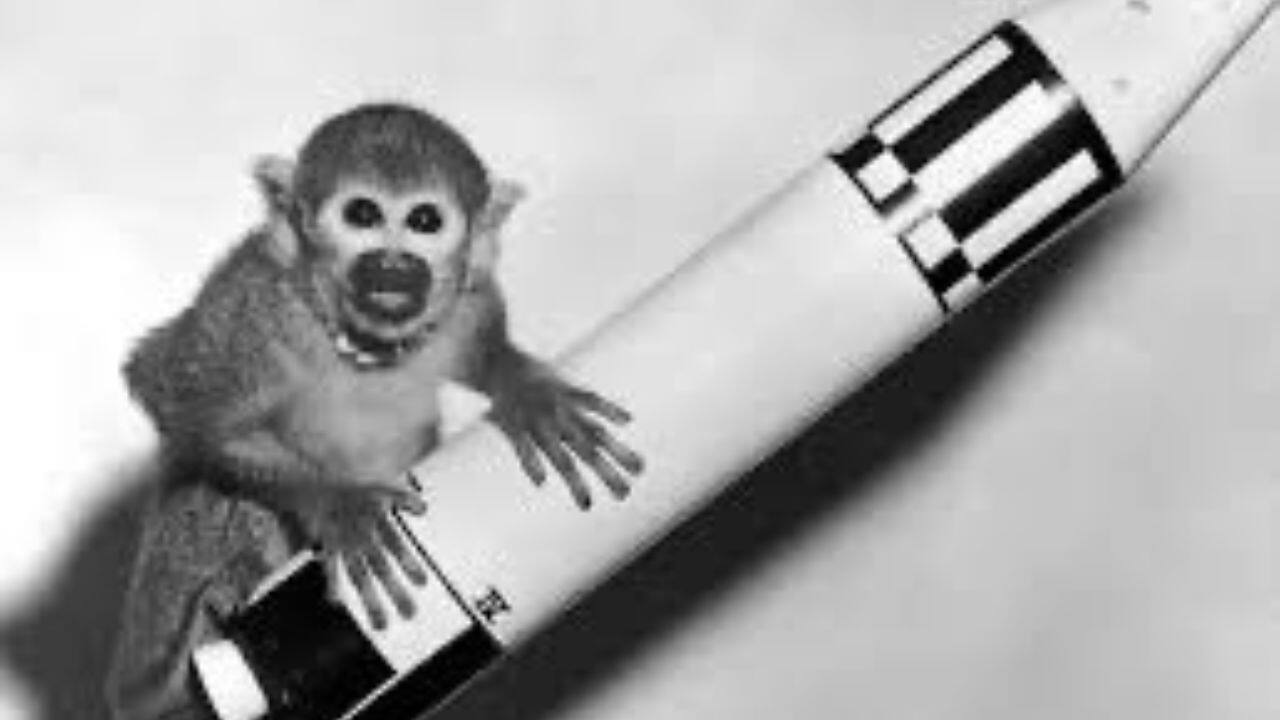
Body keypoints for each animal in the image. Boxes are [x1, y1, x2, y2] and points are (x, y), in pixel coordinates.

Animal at [105, 102, 644, 720]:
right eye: (362, 214)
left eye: (425, 221)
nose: (391, 263)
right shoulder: (257, 307)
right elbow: (171, 395)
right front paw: (340, 505)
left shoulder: (464, 305)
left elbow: (481, 340)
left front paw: (526, 393)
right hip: (152, 648)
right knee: (208, 488)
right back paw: (229, 591)